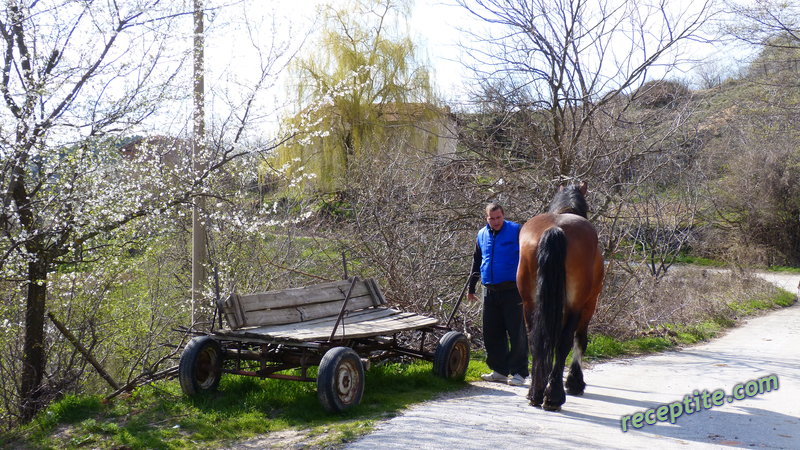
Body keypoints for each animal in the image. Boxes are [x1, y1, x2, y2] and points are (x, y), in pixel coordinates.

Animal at [516, 181, 604, 410]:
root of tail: (555, 229)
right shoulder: (589, 304)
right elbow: (580, 340)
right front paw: (575, 382)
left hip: (529, 303)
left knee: (535, 339)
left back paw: (536, 393)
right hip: (576, 304)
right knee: (564, 342)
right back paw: (554, 396)